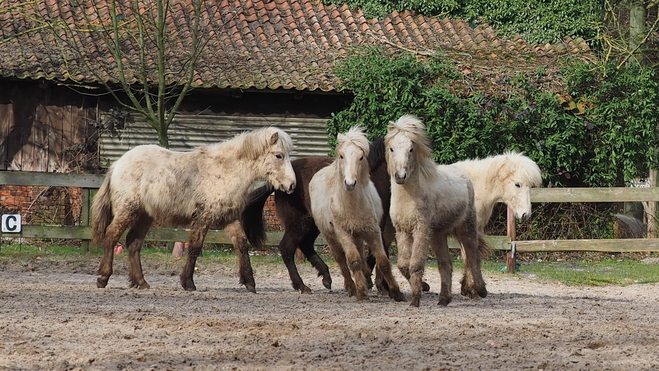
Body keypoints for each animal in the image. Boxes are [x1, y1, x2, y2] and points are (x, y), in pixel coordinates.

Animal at [91, 126, 298, 292]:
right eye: (279, 155)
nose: (291, 185)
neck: (225, 170)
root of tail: (117, 164)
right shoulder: (203, 217)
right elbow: (195, 248)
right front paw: (188, 283)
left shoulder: (228, 218)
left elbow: (241, 245)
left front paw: (250, 283)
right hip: (127, 211)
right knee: (111, 237)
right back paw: (103, 278)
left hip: (144, 216)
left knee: (133, 243)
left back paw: (141, 282)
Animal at [310, 127, 408, 302]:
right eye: (341, 156)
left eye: (361, 157)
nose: (350, 183)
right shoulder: (345, 233)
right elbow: (354, 261)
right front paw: (363, 290)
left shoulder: (374, 230)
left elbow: (382, 260)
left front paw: (395, 291)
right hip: (331, 237)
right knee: (342, 260)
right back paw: (351, 287)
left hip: (359, 234)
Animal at [384, 114, 488, 308]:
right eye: (392, 148)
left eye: (411, 149)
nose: (400, 176)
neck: (408, 197)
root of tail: (464, 175)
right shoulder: (402, 231)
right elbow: (403, 264)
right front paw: (422, 287)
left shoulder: (421, 230)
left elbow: (416, 264)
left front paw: (415, 299)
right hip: (438, 236)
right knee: (445, 264)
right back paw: (444, 299)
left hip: (466, 229)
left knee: (473, 256)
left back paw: (481, 290)